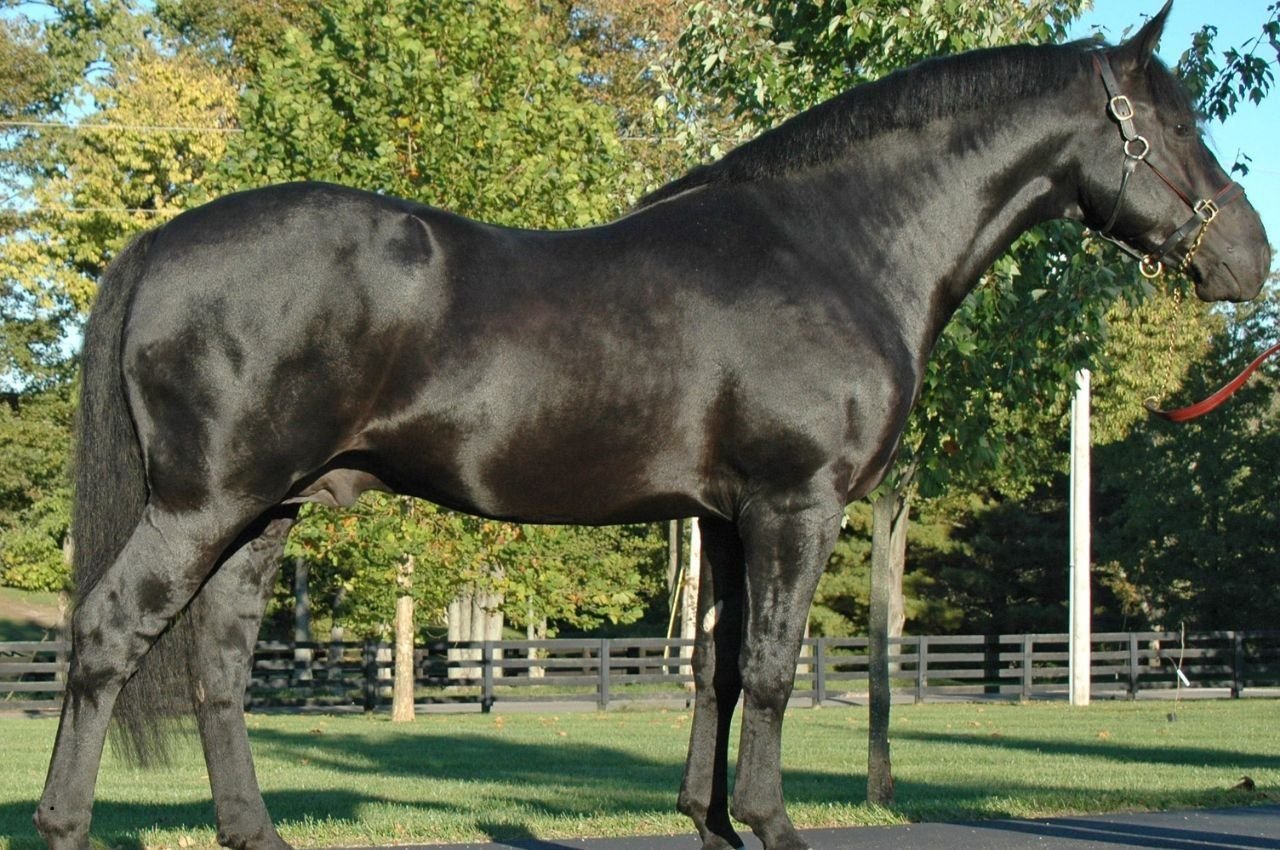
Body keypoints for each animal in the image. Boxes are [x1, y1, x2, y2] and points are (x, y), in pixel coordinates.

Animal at [37, 4, 1269, 850]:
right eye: (1170, 126)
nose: (1248, 259)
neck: (835, 245)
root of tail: (164, 242)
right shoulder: (796, 504)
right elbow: (770, 670)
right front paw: (771, 825)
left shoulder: (722, 519)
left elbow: (714, 673)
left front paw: (710, 819)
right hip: (205, 504)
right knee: (106, 635)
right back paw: (62, 821)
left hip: (266, 511)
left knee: (218, 665)